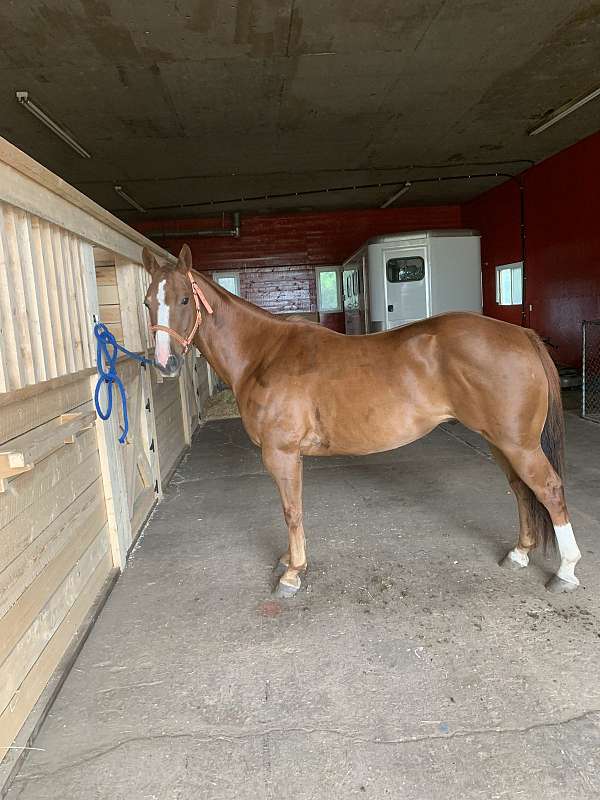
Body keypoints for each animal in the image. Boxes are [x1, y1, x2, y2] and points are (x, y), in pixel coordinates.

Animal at [141, 244, 581, 599]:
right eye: (147, 302)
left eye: (184, 299)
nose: (165, 364)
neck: (263, 353)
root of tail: (521, 334)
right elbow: (292, 509)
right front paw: (289, 560)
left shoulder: (281, 454)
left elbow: (291, 510)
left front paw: (292, 573)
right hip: (500, 441)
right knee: (521, 490)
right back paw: (519, 553)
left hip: (519, 444)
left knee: (549, 490)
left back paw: (565, 572)